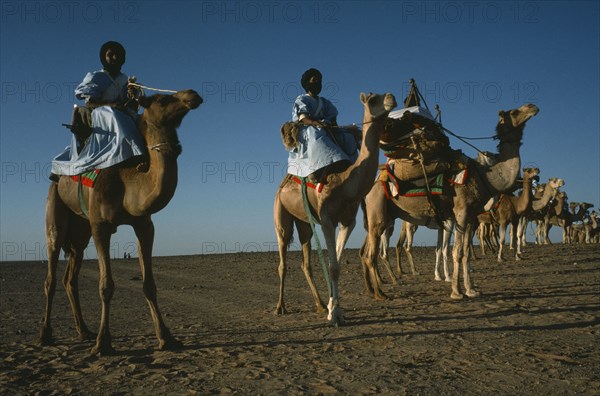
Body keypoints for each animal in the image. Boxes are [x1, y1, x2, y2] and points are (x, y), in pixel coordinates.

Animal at [40, 90, 204, 356]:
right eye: (161, 99)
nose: (192, 94)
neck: (128, 182)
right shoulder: (100, 226)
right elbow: (106, 286)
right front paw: (103, 343)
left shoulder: (144, 225)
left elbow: (149, 285)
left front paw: (166, 338)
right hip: (55, 209)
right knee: (51, 276)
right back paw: (46, 335)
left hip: (80, 232)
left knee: (70, 278)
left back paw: (84, 331)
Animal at [274, 92, 396, 324]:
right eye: (373, 99)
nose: (391, 98)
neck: (346, 182)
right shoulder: (327, 219)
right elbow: (332, 266)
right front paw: (335, 315)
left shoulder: (348, 221)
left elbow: (336, 264)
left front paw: (333, 308)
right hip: (281, 215)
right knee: (283, 259)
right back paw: (280, 307)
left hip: (304, 222)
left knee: (305, 261)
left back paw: (320, 304)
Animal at [364, 103, 540, 298]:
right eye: (514, 112)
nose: (532, 107)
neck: (485, 177)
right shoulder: (461, 212)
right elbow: (456, 252)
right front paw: (456, 292)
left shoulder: (471, 216)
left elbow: (466, 252)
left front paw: (471, 290)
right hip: (378, 213)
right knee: (371, 254)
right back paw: (380, 293)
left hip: (387, 216)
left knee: (368, 252)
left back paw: (373, 288)